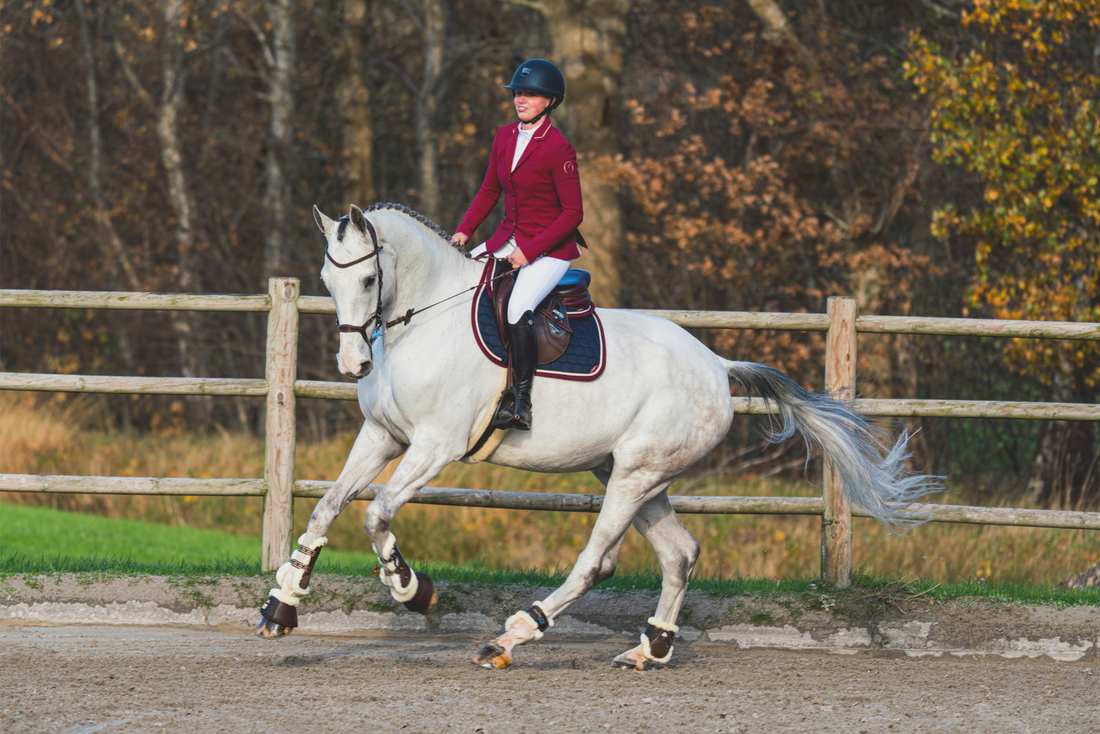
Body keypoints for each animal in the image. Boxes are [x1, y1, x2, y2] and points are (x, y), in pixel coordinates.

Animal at [255, 202, 937, 673]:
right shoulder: (383, 437)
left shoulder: (434, 447)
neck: (421, 322)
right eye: (327, 280)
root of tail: (717, 366)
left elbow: (376, 514)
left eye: (369, 282)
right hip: (633, 475)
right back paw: (650, 650)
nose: (353, 365)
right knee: (679, 554)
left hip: (634, 474)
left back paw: (511, 637)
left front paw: (411, 589)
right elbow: (327, 507)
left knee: (596, 562)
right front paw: (283, 604)